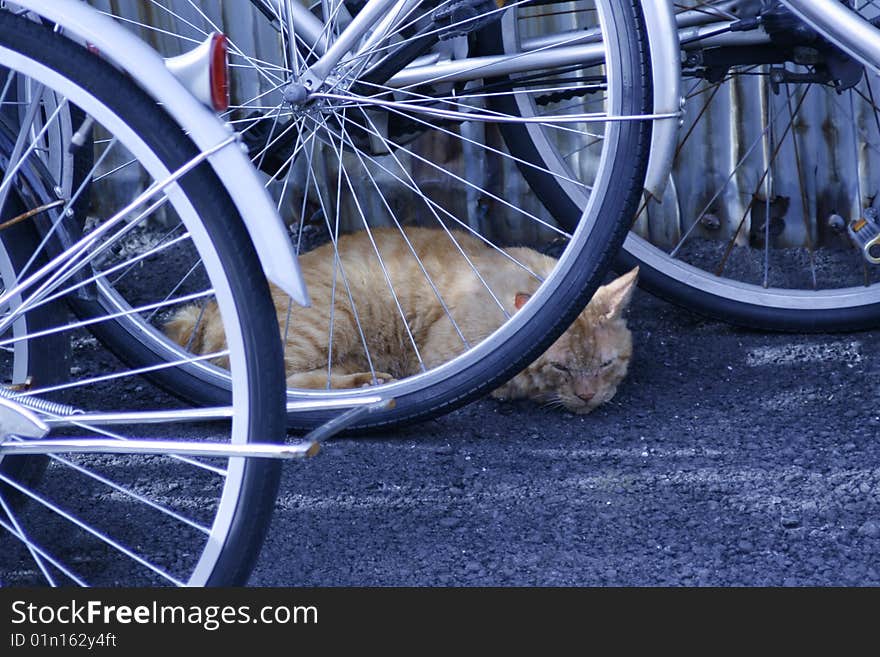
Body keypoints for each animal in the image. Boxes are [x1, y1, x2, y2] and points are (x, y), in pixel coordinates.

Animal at [165, 226, 636, 410]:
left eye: (606, 363)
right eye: (561, 367)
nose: (588, 396)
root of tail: (207, 309)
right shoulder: (443, 356)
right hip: (327, 322)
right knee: (286, 384)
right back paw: (363, 382)